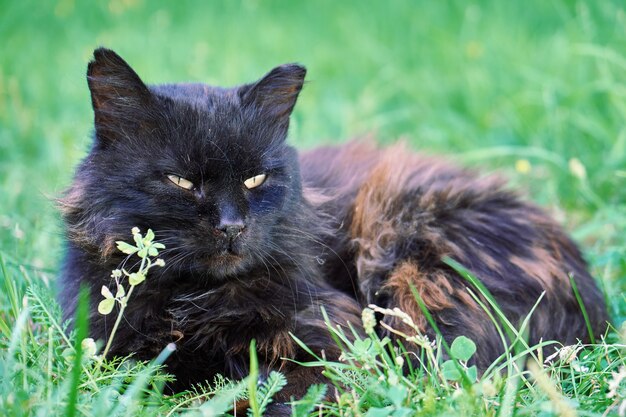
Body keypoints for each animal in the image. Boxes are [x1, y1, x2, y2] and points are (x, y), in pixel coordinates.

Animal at [59, 48, 360, 412]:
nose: (232, 227)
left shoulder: (329, 335)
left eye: (255, 179)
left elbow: (296, 387)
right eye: (180, 181)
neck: (200, 299)